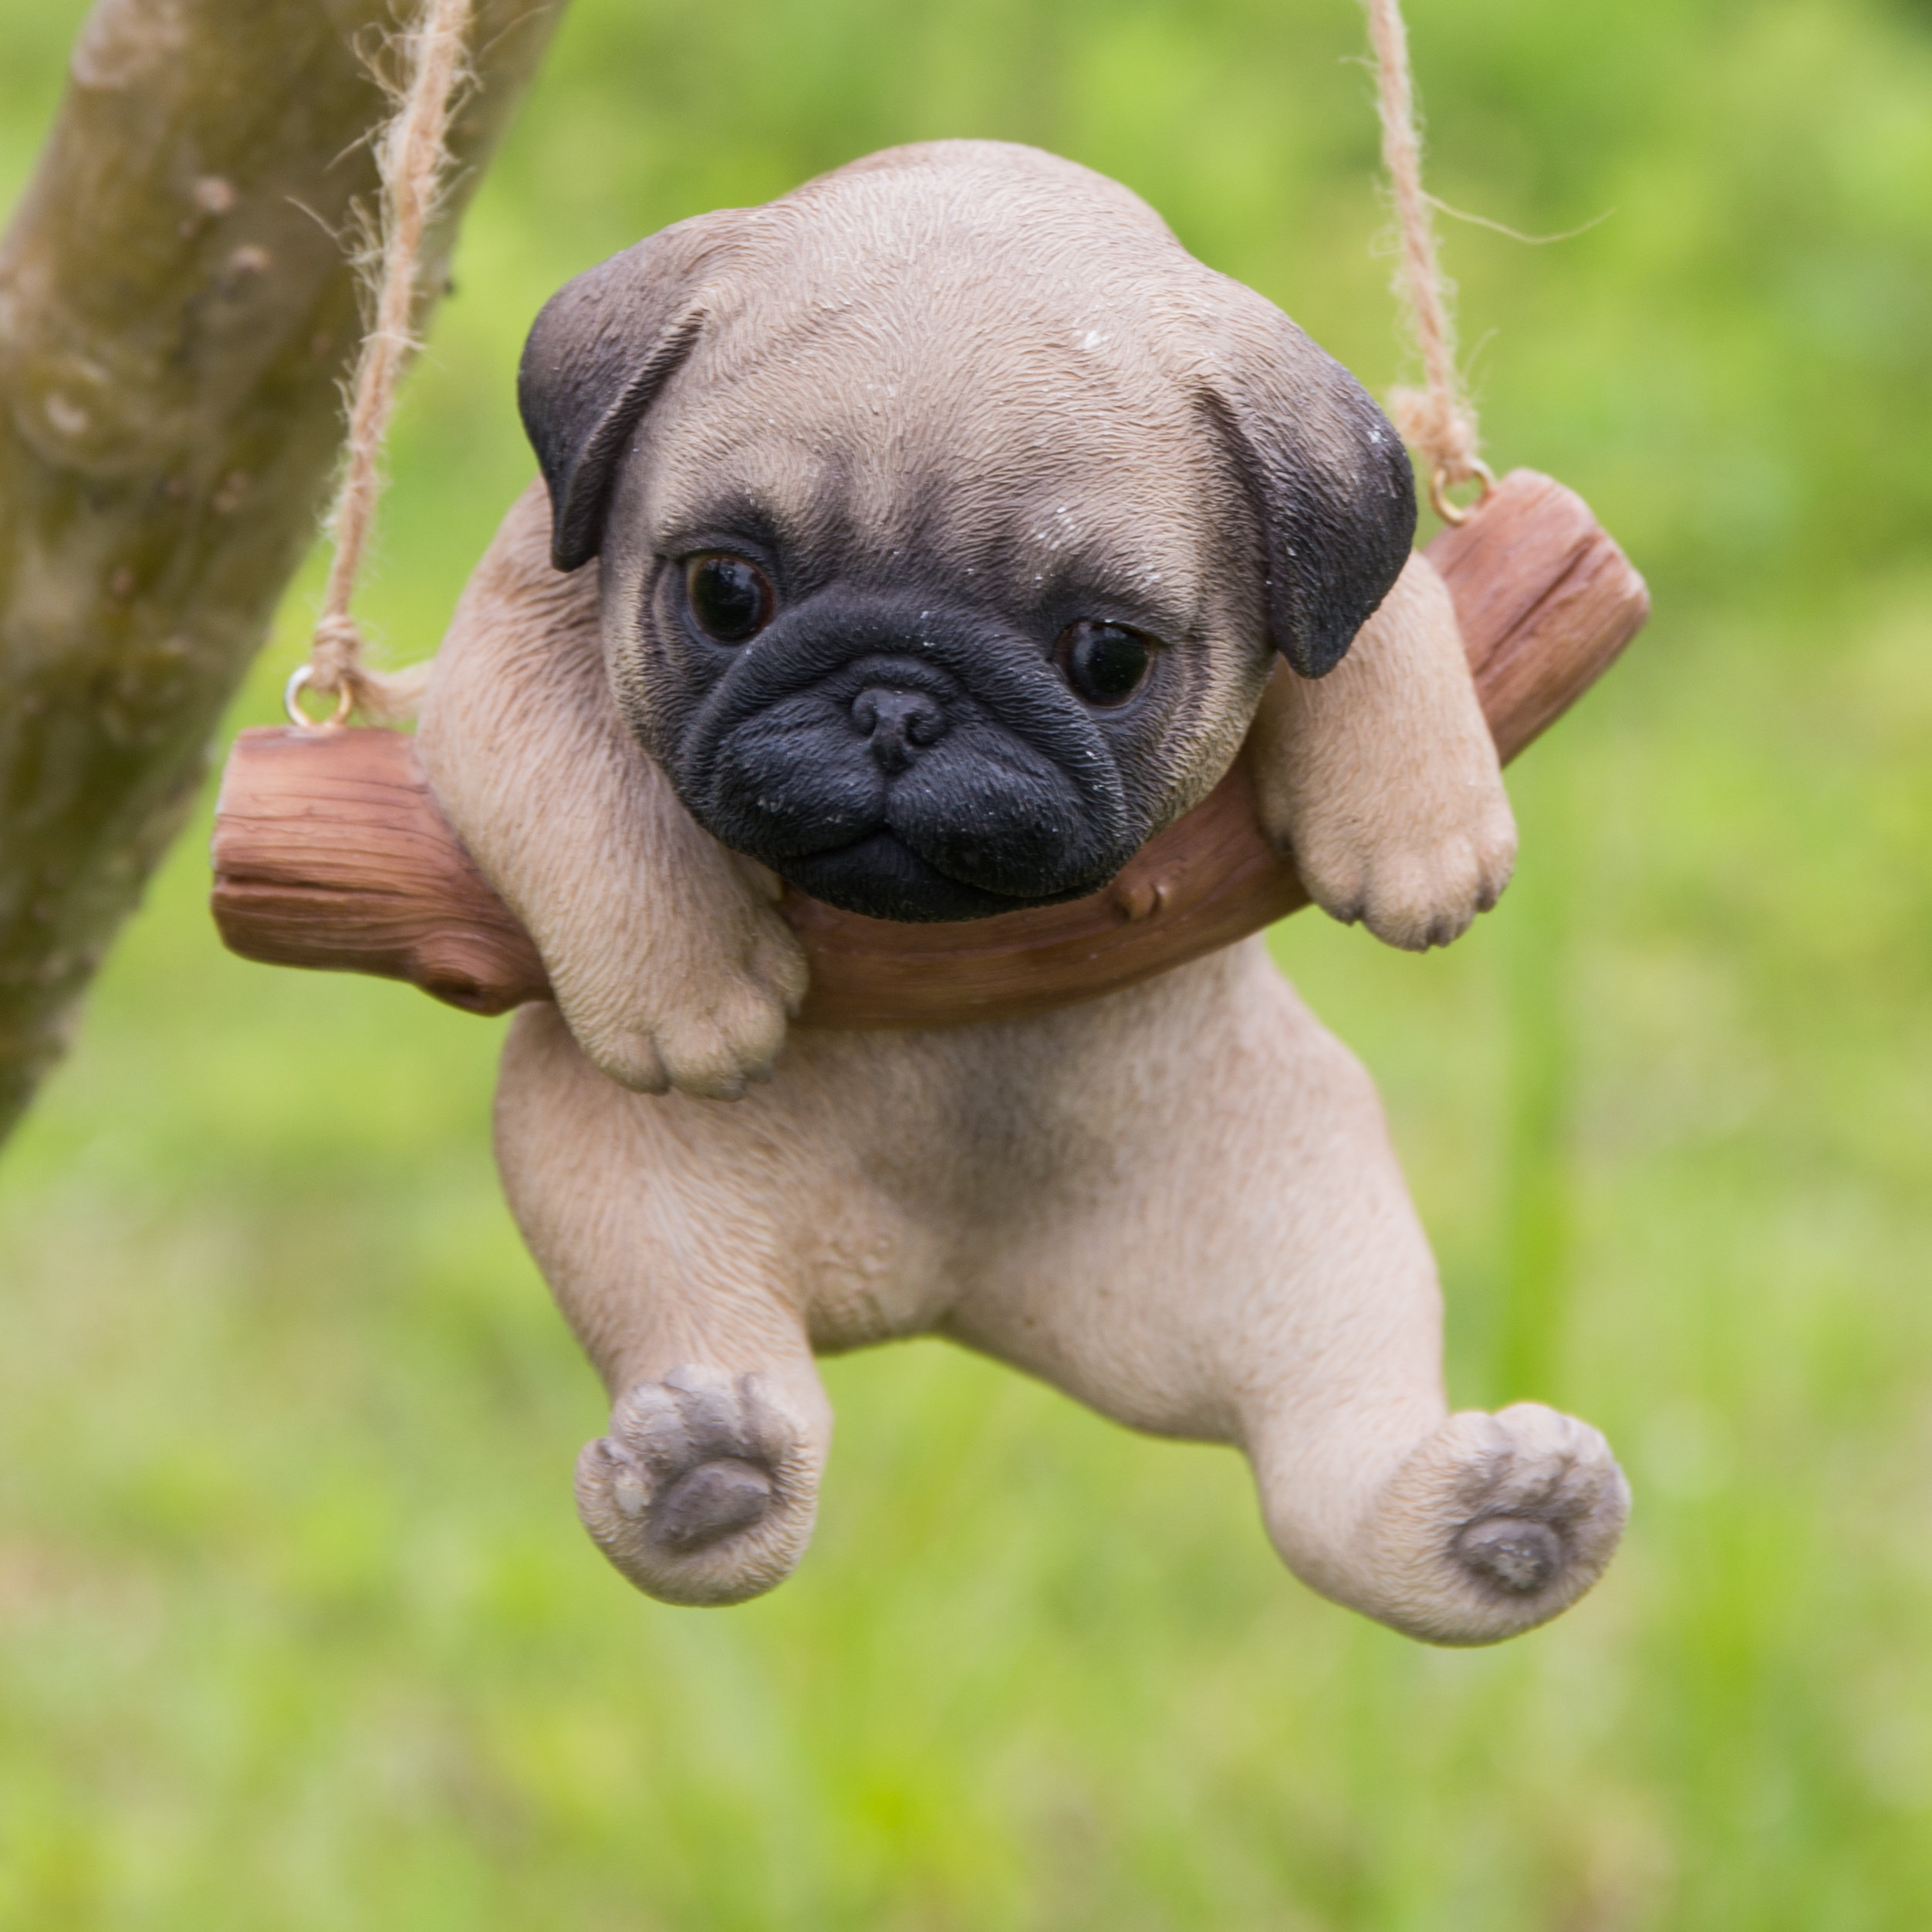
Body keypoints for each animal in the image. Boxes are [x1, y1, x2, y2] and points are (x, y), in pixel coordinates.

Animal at [423, 140, 1630, 1646]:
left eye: (1105, 658)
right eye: (725, 594)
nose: (896, 701)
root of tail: (950, 1287)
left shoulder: (1341, 554)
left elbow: (1384, 617)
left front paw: (1421, 825)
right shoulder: (508, 629)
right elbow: (581, 777)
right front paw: (685, 982)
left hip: (1304, 1230)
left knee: (1328, 1445)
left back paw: (1497, 1522)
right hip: (631, 1199)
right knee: (716, 1361)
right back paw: (709, 1480)